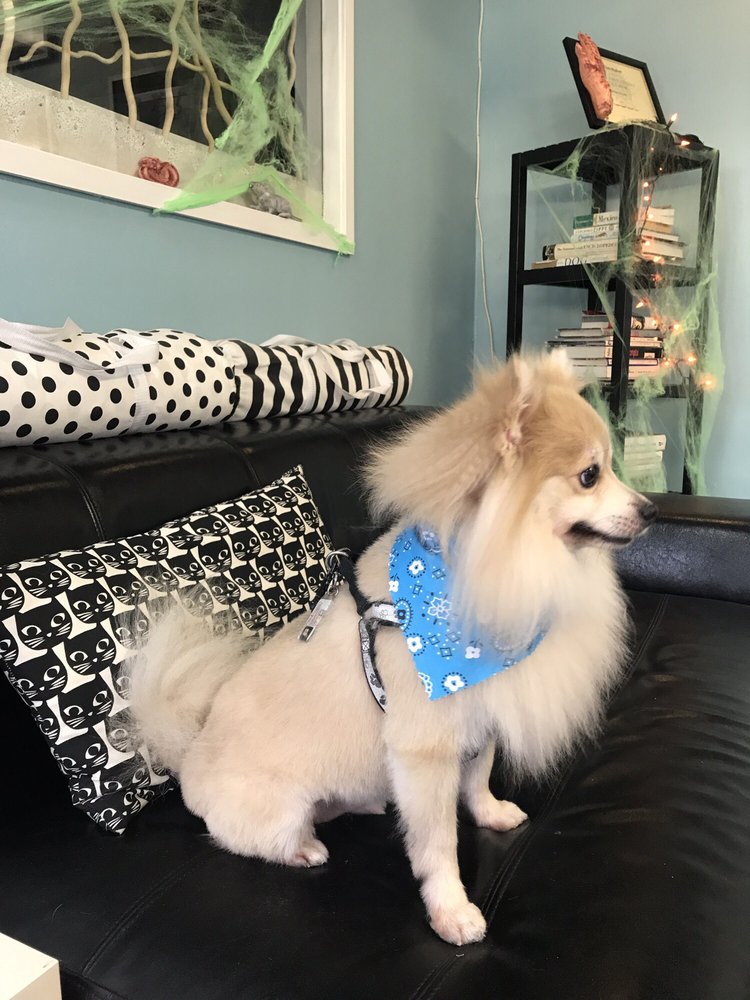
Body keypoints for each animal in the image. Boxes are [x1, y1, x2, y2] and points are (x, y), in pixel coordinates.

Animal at [126, 351, 655, 946]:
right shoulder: (425, 749)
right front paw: (452, 911)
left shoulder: (480, 718)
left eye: (612, 469)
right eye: (590, 475)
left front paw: (490, 812)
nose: (651, 510)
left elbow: (479, 776)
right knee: (254, 839)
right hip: (277, 811)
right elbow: (438, 841)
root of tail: (188, 760)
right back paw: (305, 849)